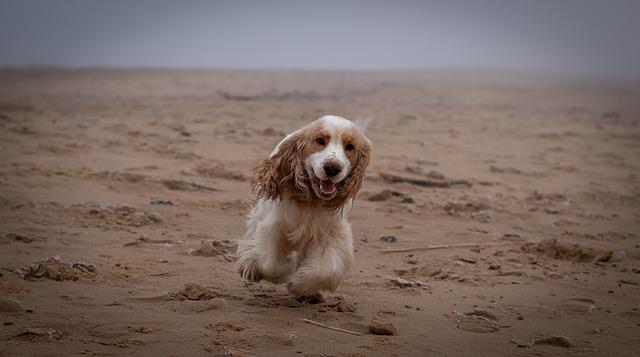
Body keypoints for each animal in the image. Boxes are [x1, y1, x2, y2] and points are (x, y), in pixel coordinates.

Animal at [236, 115, 372, 302]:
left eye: (350, 147)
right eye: (320, 141)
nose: (332, 168)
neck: (313, 200)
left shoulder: (332, 233)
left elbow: (325, 270)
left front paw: (299, 285)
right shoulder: (274, 225)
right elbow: (269, 263)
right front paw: (284, 273)